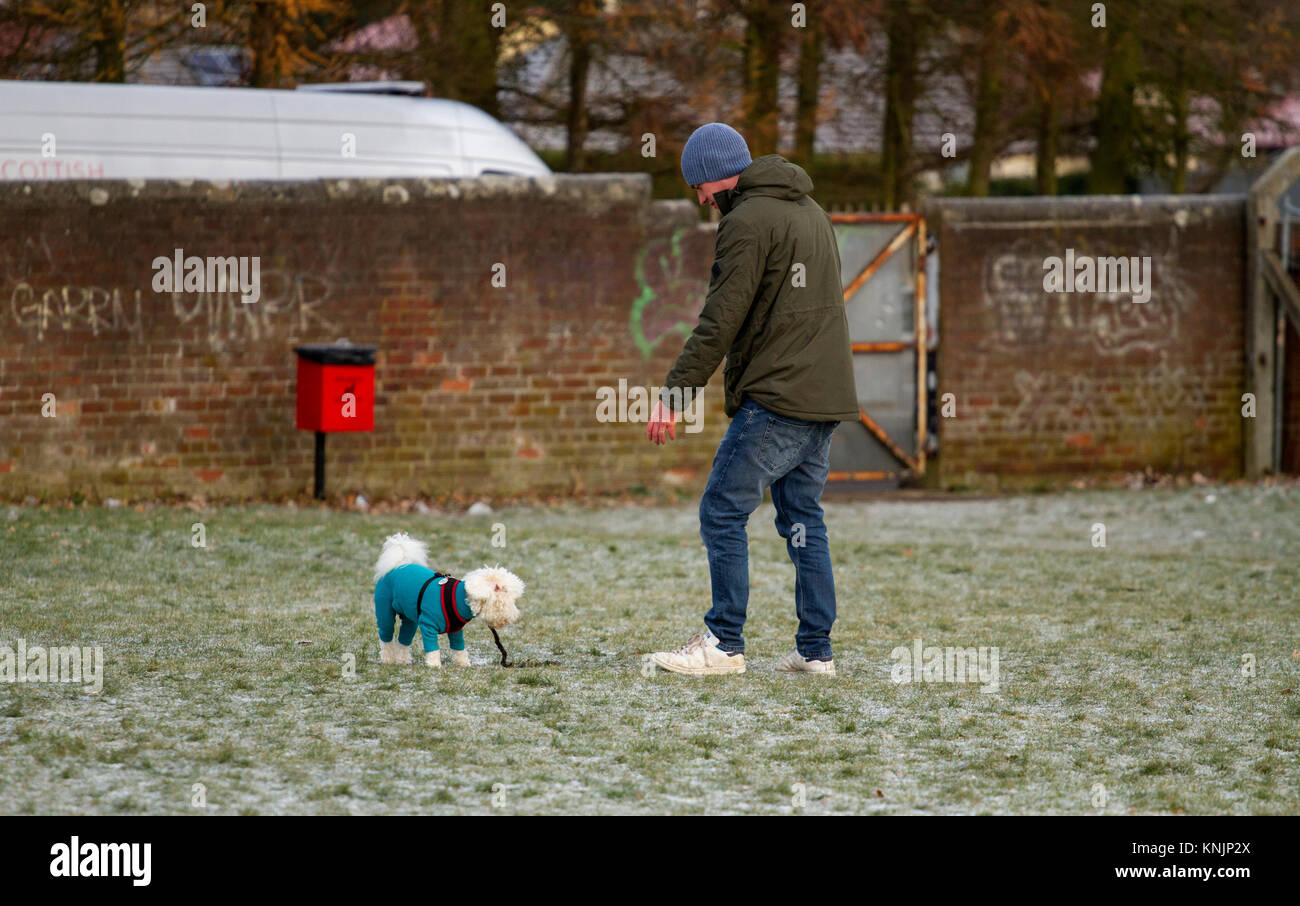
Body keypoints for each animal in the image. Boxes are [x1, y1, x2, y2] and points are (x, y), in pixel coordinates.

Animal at [371, 530, 522, 665]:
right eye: (507, 599)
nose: (515, 616)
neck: (458, 598)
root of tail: (398, 564)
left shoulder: (456, 630)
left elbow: (459, 649)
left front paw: (463, 664)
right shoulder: (428, 626)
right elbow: (432, 649)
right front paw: (434, 665)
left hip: (409, 617)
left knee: (404, 638)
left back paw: (403, 661)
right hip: (385, 611)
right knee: (385, 637)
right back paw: (388, 659)